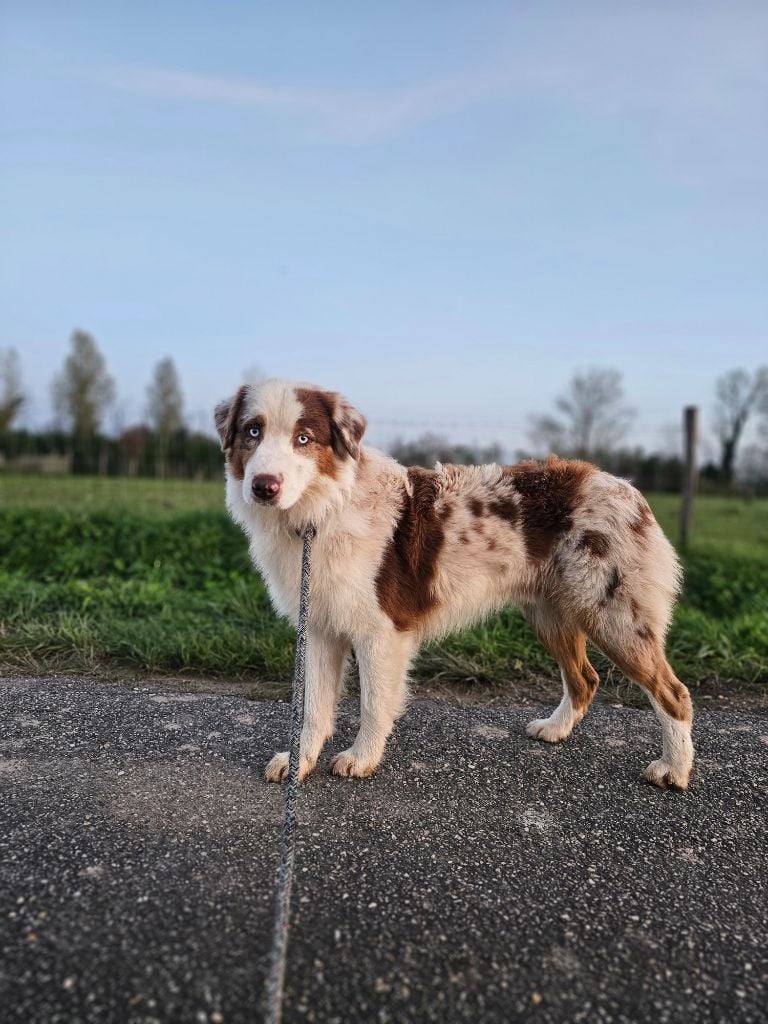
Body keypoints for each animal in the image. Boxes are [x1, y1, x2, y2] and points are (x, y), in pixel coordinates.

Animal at [214, 380, 696, 786]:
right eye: (253, 431)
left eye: (304, 438)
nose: (264, 486)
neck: (321, 512)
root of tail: (626, 488)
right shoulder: (317, 626)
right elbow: (312, 706)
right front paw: (300, 762)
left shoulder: (381, 632)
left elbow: (372, 702)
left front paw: (361, 758)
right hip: (551, 612)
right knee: (585, 678)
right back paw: (556, 730)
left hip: (613, 614)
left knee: (673, 692)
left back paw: (674, 769)